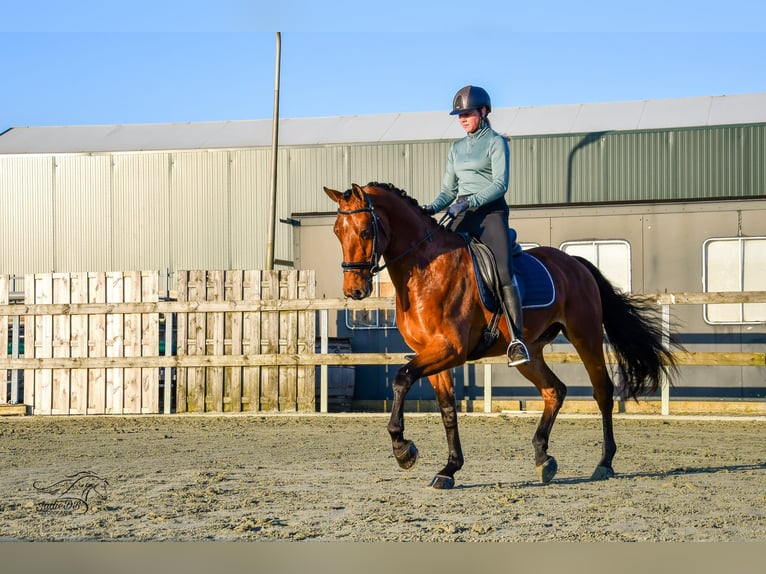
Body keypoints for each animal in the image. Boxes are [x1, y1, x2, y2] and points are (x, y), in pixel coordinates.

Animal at [322, 182, 680, 488]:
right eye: (337, 232)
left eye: (365, 230)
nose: (354, 291)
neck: (426, 270)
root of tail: (575, 263)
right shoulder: (432, 353)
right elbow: (447, 409)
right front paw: (449, 469)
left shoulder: (449, 349)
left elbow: (401, 378)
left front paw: (403, 449)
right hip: (528, 351)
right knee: (554, 390)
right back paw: (543, 457)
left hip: (585, 335)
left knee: (602, 391)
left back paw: (604, 462)